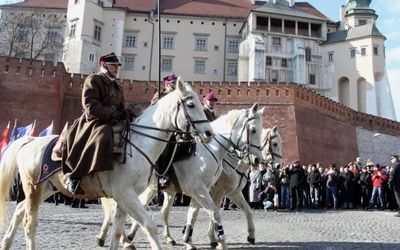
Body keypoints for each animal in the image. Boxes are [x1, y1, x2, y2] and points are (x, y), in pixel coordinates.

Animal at [0, 78, 214, 250]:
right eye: (191, 104)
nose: (209, 133)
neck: (139, 142)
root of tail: (30, 141)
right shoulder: (126, 195)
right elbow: (149, 226)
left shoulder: (123, 197)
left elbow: (117, 232)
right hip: (34, 188)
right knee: (29, 223)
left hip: (46, 188)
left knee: (19, 211)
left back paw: (6, 242)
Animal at [96, 102, 266, 249]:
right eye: (253, 130)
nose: (258, 159)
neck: (211, 149)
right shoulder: (207, 190)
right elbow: (213, 213)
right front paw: (216, 240)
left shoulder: (208, 191)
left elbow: (196, 214)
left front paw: (189, 240)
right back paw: (123, 239)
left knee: (153, 211)